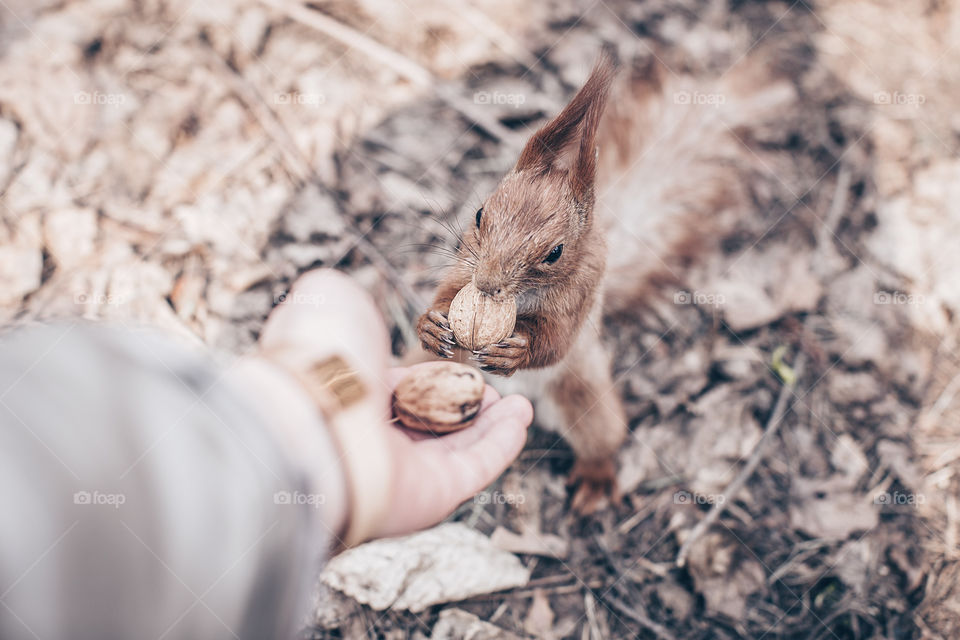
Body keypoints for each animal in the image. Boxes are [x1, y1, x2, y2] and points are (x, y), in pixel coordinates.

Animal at [414, 48, 796, 516]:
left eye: (555, 253)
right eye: (479, 214)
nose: (487, 285)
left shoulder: (581, 294)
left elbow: (556, 340)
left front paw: (518, 350)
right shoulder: (464, 268)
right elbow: (448, 294)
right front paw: (431, 324)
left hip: (585, 397)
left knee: (601, 440)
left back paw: (595, 482)